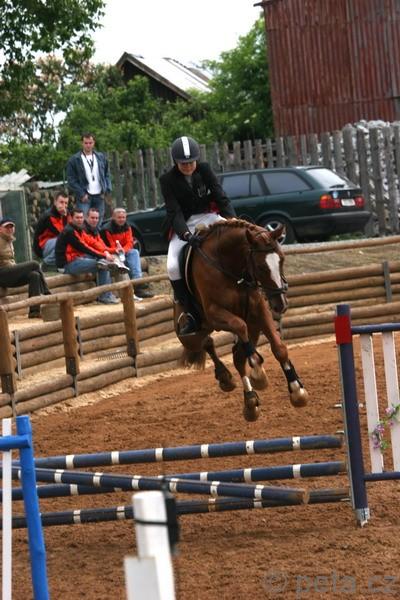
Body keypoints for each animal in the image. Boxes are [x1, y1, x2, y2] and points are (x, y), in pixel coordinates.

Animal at [173, 218, 309, 422]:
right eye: (261, 267)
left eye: (282, 259)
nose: (280, 304)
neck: (230, 267)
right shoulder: (215, 314)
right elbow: (239, 326)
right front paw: (258, 371)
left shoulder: (259, 311)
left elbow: (279, 348)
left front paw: (296, 390)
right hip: (191, 336)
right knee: (206, 343)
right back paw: (229, 379)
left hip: (250, 327)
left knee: (234, 355)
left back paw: (248, 399)